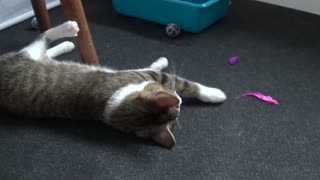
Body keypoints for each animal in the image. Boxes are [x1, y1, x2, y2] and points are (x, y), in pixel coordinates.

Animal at [0, 21, 226, 148]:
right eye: (175, 102)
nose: (179, 100)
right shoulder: (143, 75)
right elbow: (181, 81)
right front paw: (215, 94)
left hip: (35, 58)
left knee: (45, 51)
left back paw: (66, 45)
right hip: (25, 57)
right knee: (42, 38)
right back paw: (68, 29)